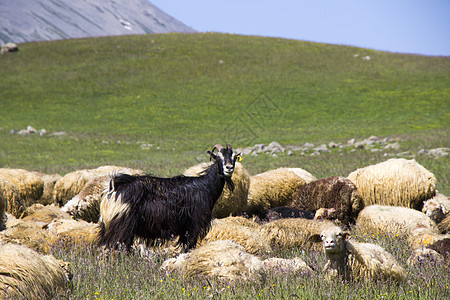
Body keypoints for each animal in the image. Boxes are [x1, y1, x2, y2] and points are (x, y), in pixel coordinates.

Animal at [96, 144, 241, 252]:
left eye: (234, 157)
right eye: (218, 157)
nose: (229, 168)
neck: (206, 187)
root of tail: (114, 187)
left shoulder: (185, 229)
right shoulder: (194, 224)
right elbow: (190, 246)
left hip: (108, 225)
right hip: (122, 225)